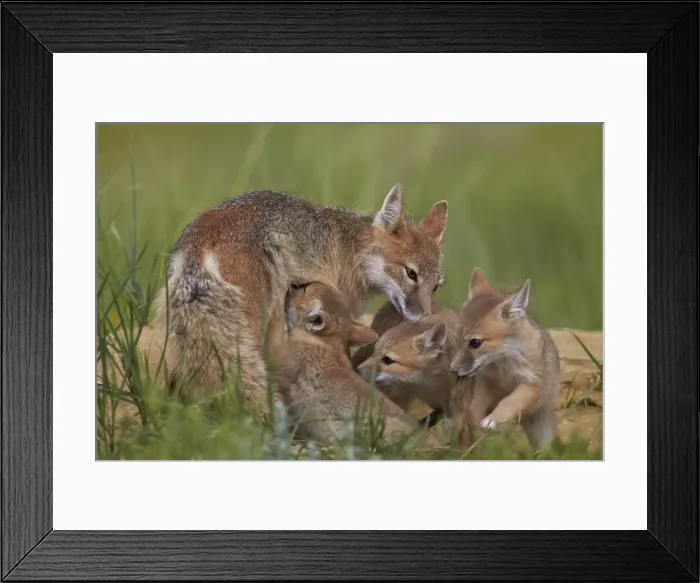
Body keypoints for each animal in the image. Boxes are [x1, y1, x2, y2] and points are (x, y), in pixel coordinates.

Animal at [448, 268, 561, 451]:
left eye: (475, 343)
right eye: (456, 339)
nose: (453, 369)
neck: (504, 369)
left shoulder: (532, 385)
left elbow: (510, 401)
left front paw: (494, 419)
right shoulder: (483, 383)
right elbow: (473, 410)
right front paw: (477, 426)